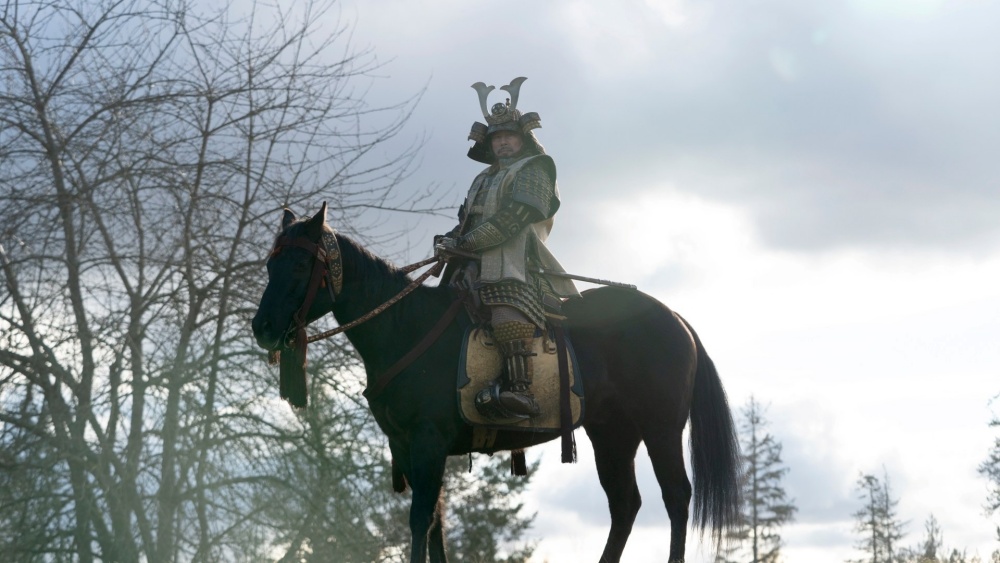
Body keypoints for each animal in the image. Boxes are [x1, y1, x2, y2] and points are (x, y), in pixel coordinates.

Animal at [250, 205, 744, 563]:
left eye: (300, 265)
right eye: (271, 263)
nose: (263, 327)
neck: (404, 327)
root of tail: (675, 318)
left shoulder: (427, 442)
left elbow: (419, 518)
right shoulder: (408, 445)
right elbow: (435, 523)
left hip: (660, 428)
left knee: (676, 497)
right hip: (612, 433)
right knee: (625, 504)